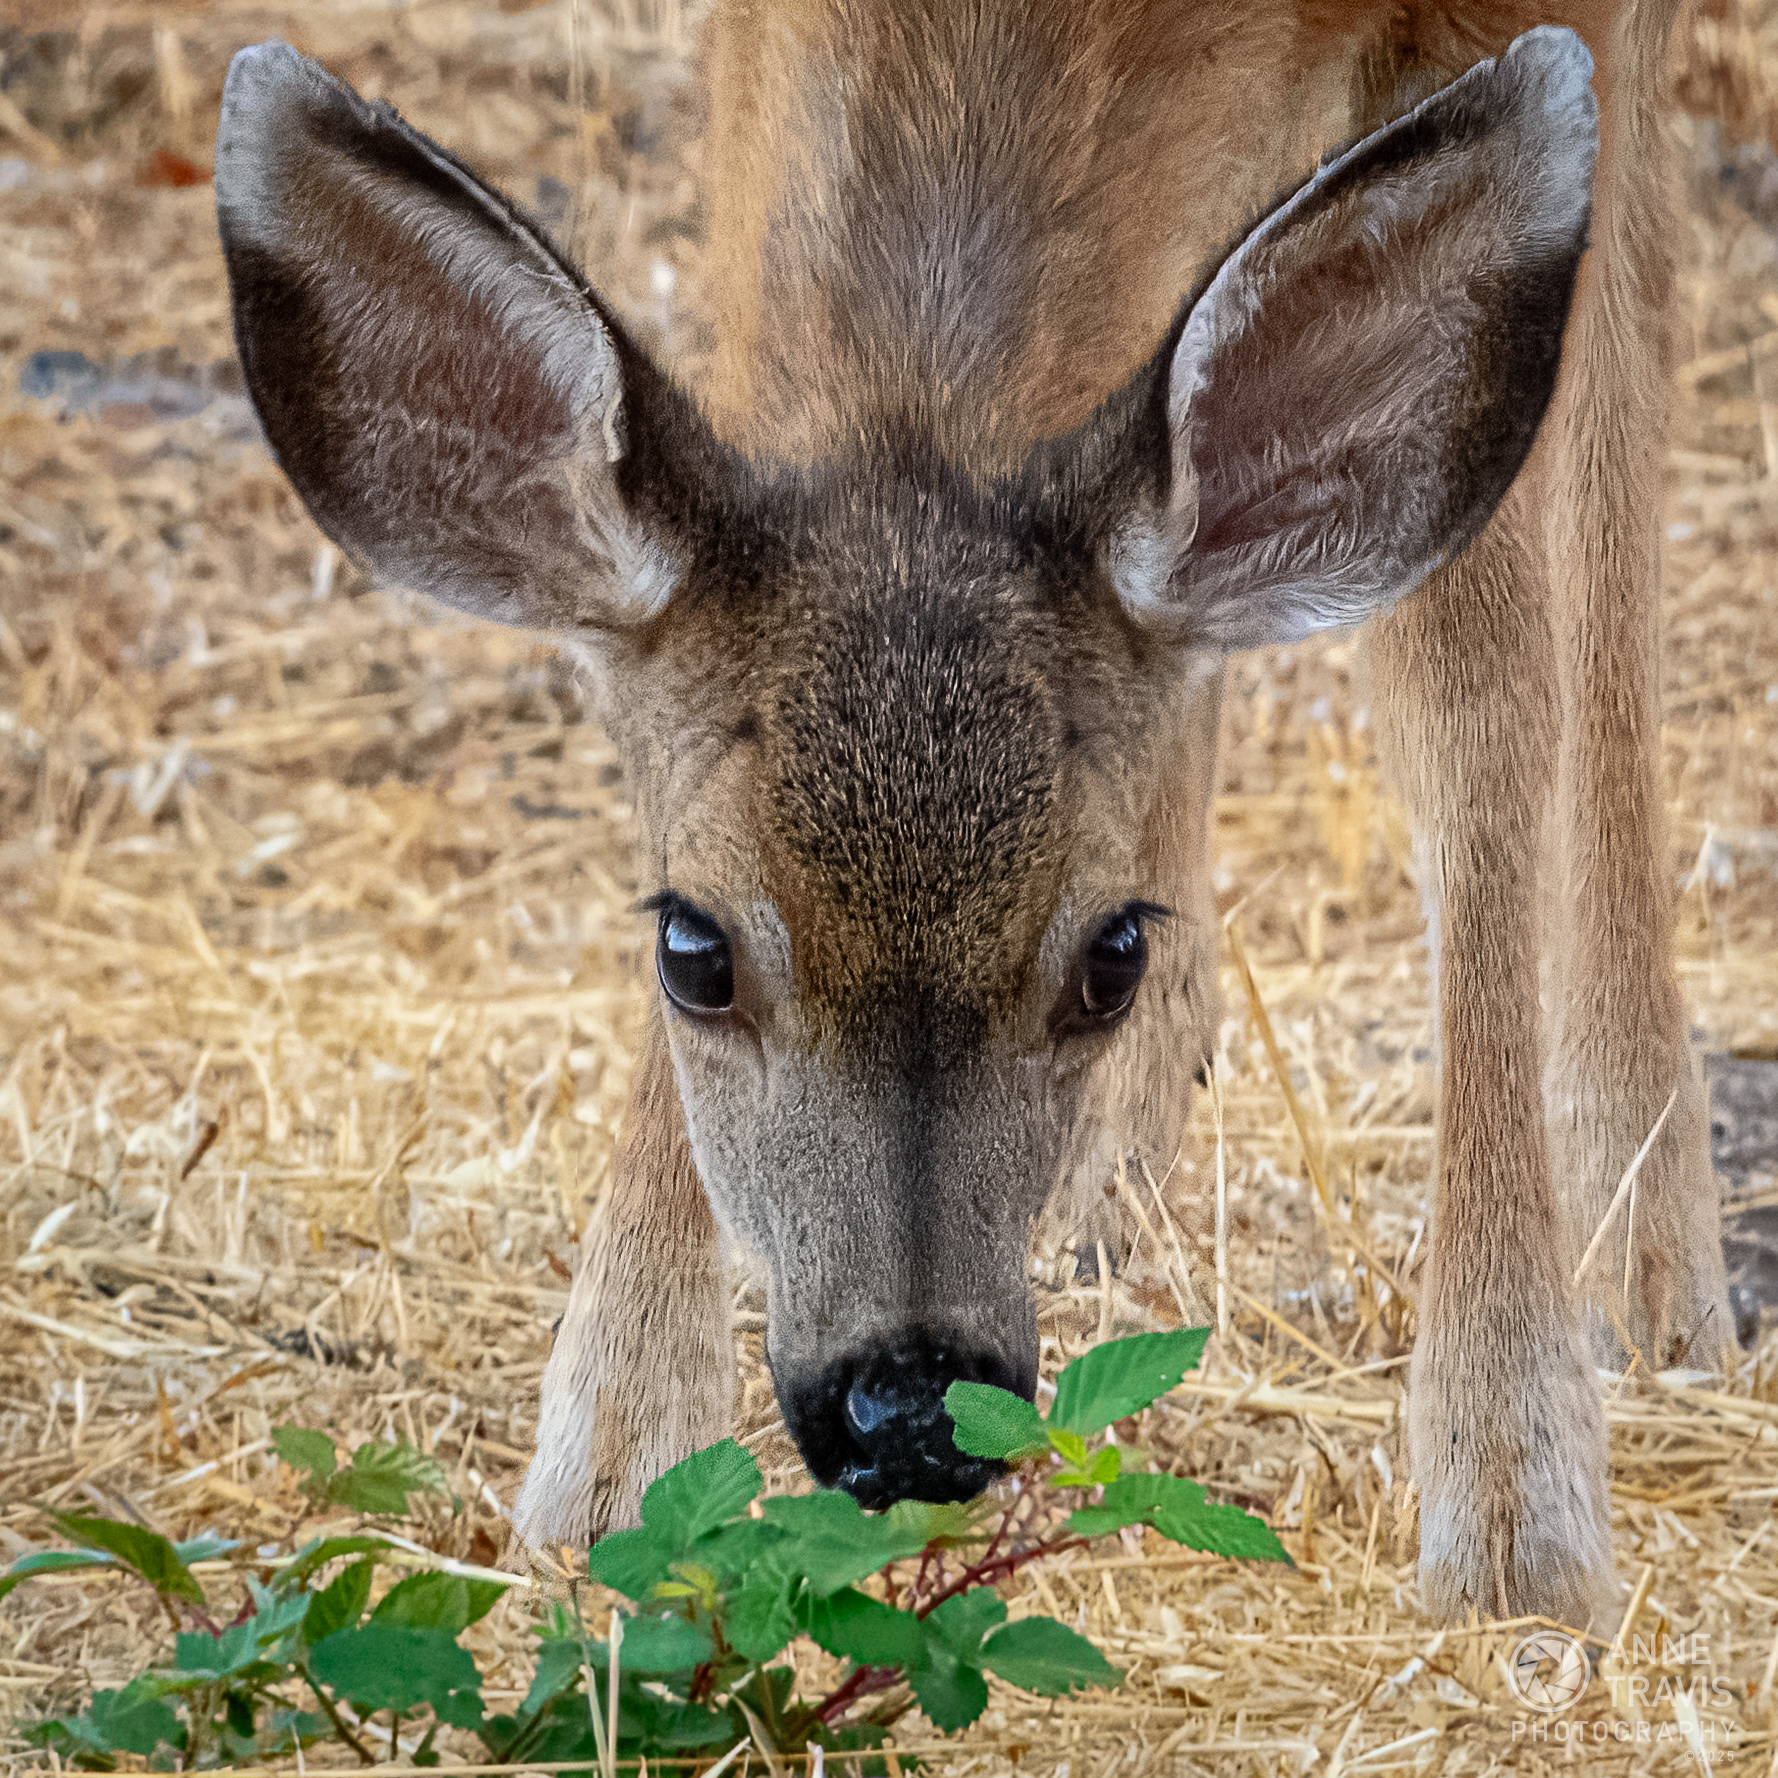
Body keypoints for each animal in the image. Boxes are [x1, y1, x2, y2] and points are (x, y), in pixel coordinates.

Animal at [213, 0, 1732, 1628]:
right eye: (691, 951)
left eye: (1106, 955)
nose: (907, 1403)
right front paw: (616, 1443)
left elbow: (1477, 692)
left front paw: (1517, 1485)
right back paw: (1114, 1187)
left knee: (1624, 386)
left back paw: (1648, 1249)